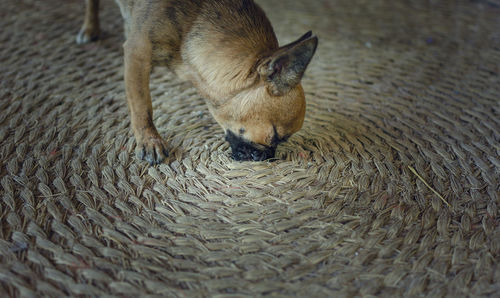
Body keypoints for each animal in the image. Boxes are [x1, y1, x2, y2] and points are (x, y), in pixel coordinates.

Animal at [76, 0, 318, 163]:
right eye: (275, 135)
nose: (268, 157)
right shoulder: (138, 53)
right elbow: (141, 105)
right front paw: (149, 140)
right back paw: (89, 28)